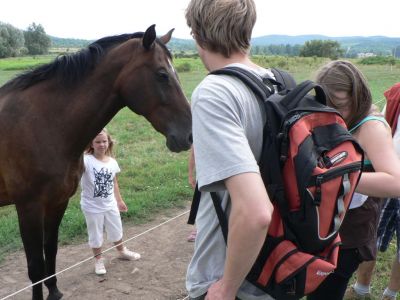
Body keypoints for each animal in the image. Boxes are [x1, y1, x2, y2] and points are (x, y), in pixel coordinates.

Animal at [0, 25, 192, 300]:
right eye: (162, 74)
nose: (189, 135)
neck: (42, 123)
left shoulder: (57, 202)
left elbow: (51, 250)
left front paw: (54, 291)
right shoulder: (29, 207)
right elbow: (35, 266)